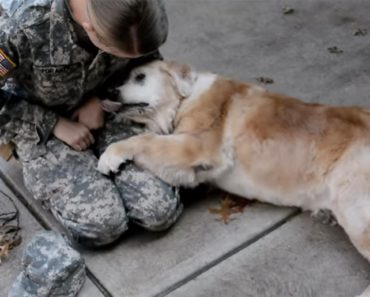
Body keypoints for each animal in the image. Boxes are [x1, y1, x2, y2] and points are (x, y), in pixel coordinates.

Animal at [97, 60, 370, 296]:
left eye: (140, 77)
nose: (110, 90)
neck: (184, 99)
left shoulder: (195, 147)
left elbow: (144, 139)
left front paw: (111, 154)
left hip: (355, 210)